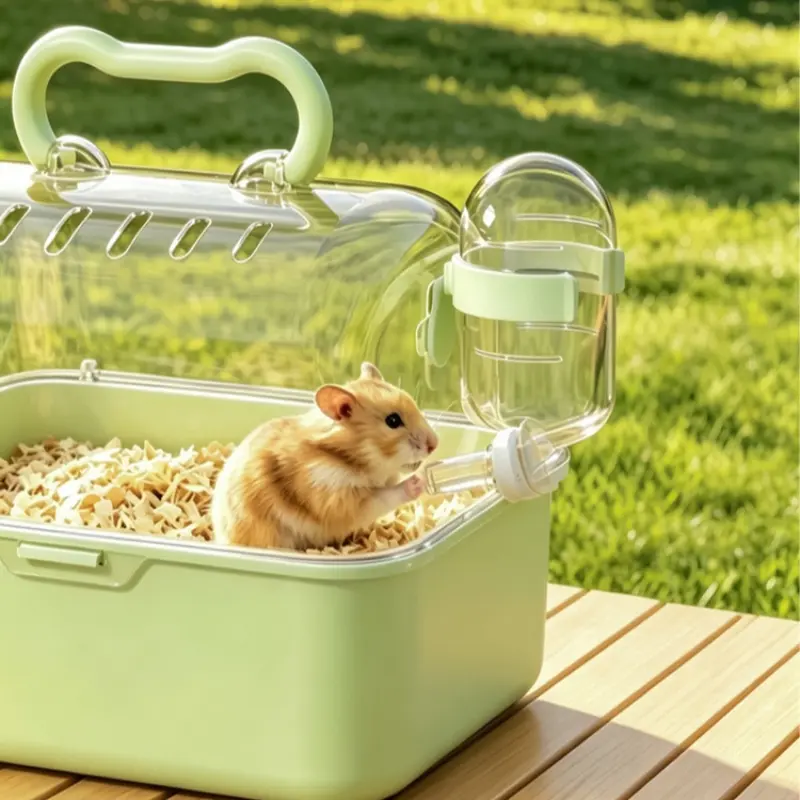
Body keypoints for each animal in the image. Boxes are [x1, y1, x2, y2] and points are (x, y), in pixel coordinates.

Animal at [211, 362, 440, 551]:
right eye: (393, 421)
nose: (434, 444)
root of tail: (220, 539)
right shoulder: (335, 496)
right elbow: (384, 497)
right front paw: (418, 482)